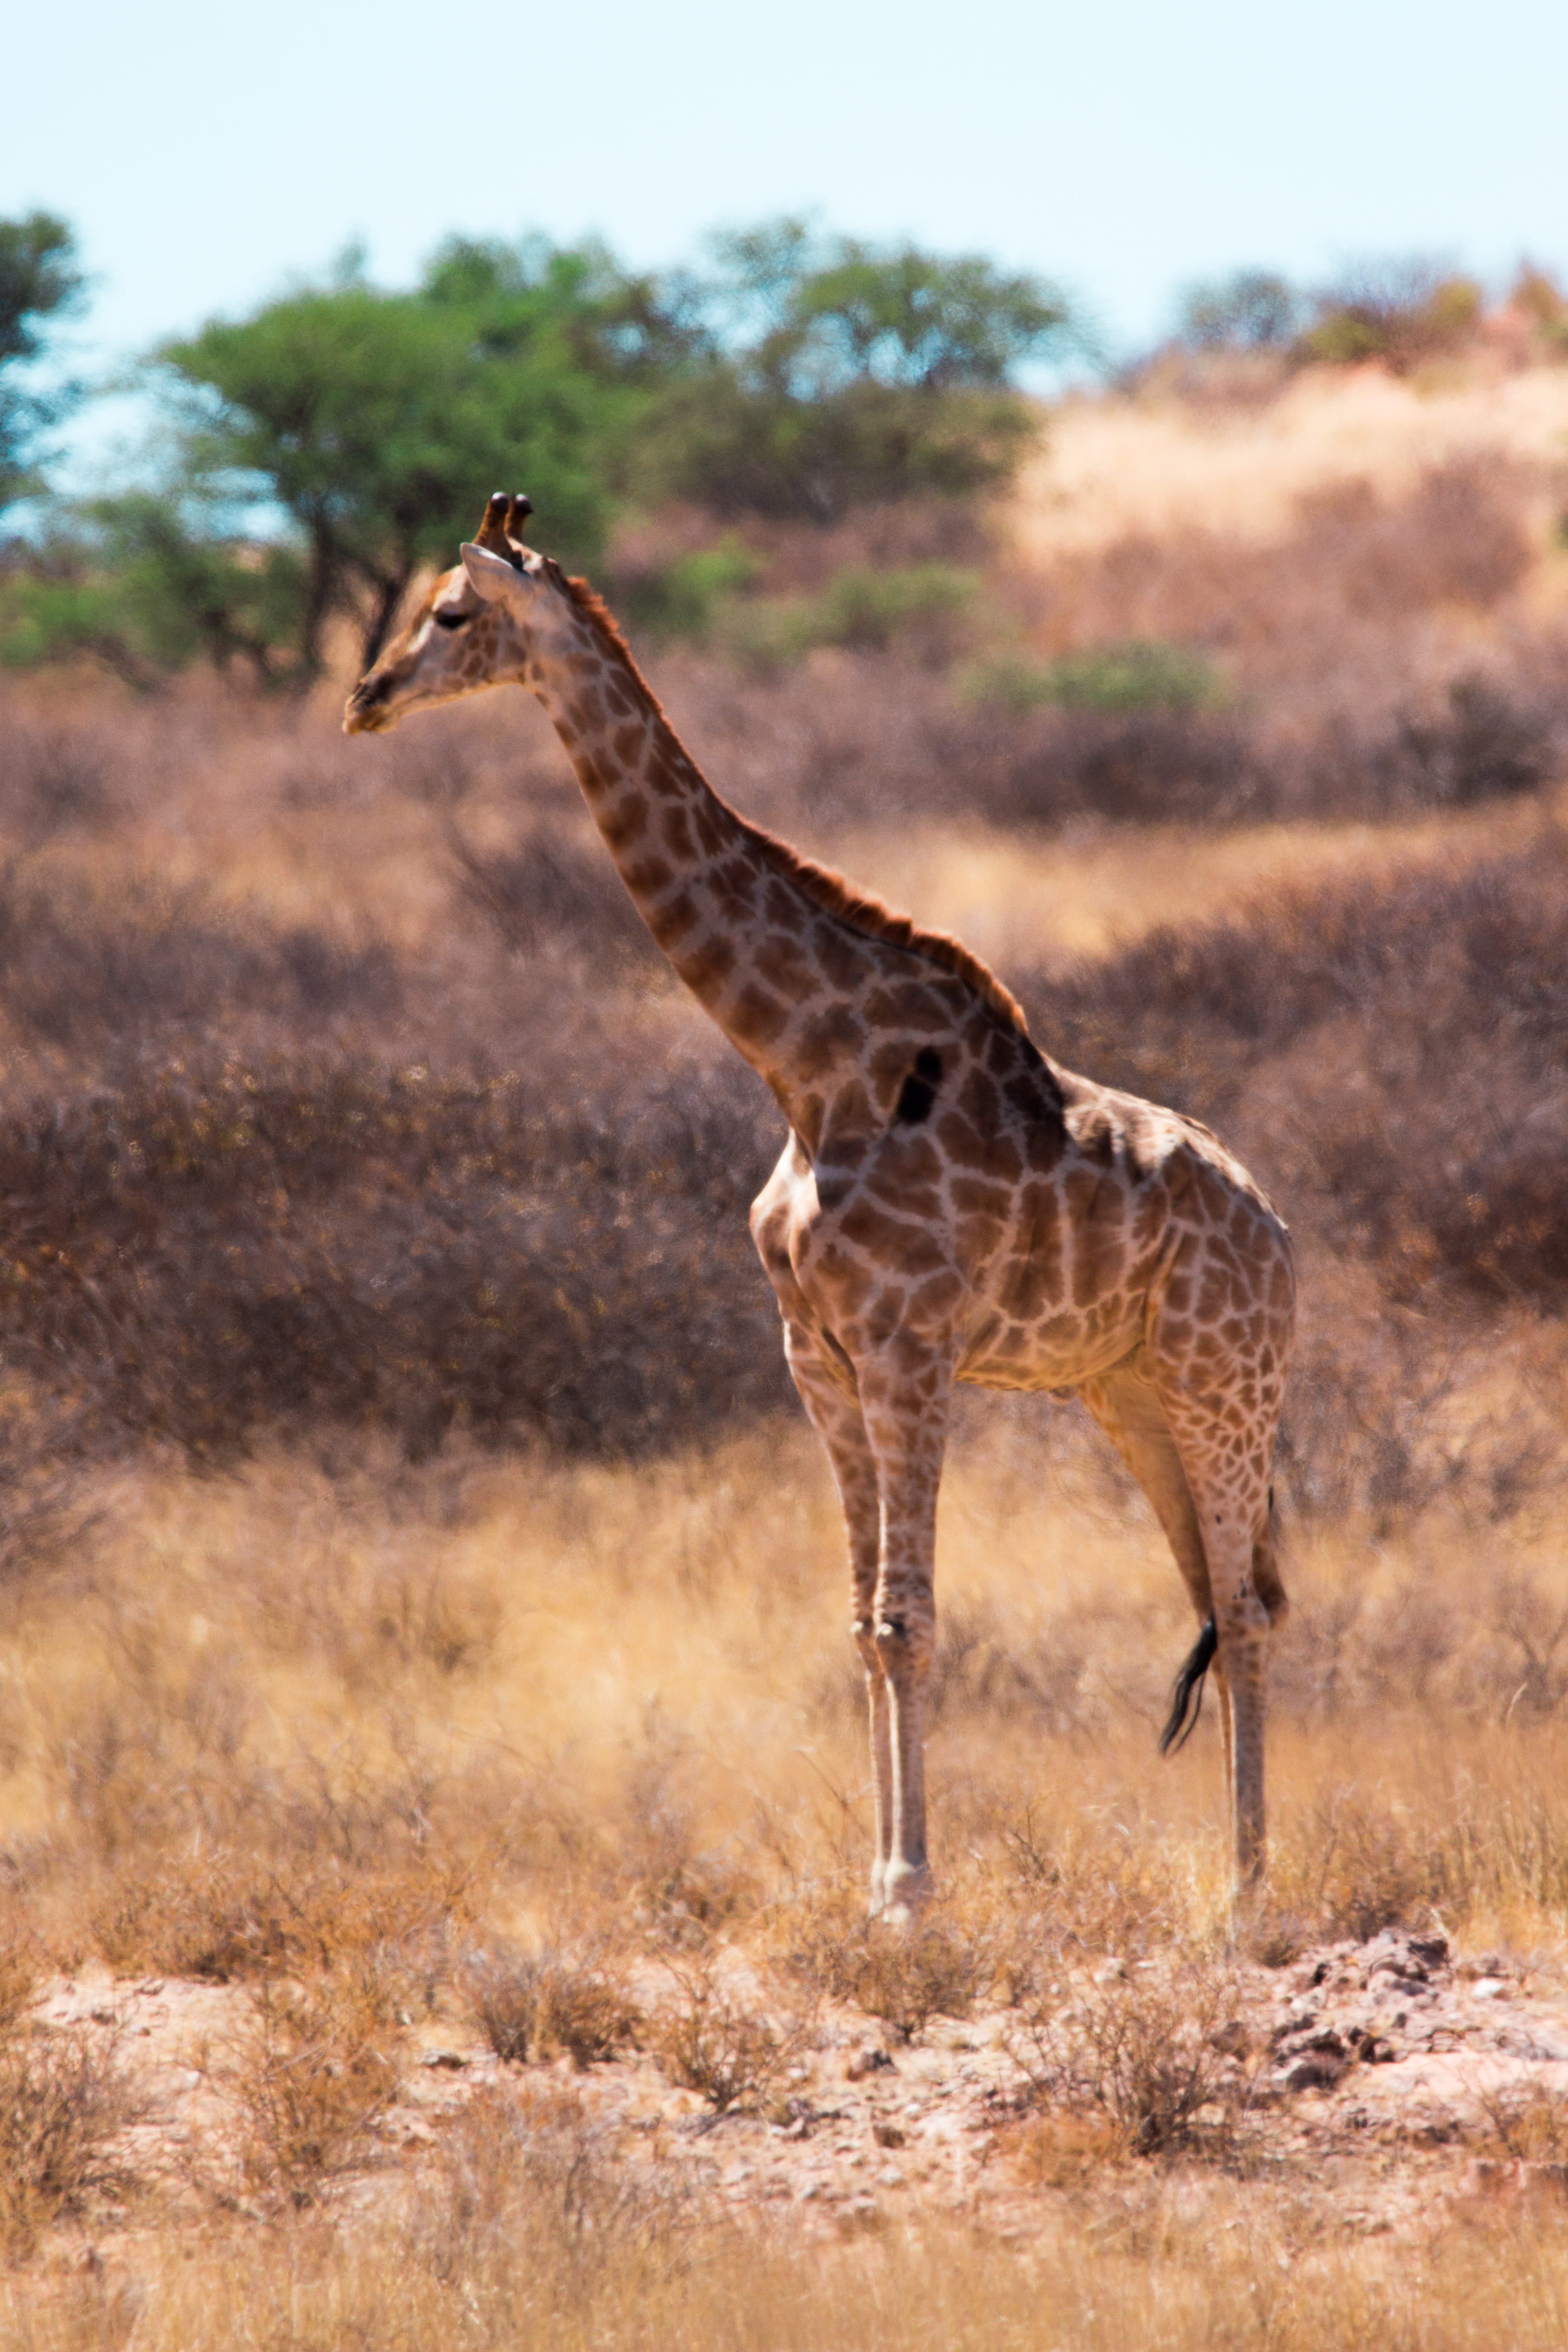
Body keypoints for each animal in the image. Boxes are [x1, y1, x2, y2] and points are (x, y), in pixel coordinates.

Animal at [345, 492, 1295, 1919]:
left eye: (451, 613)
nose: (364, 696)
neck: (807, 1068)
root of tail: (1281, 1236)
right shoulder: (816, 1355)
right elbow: (860, 1621)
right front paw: (877, 1877)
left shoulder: (908, 1350)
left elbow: (911, 1618)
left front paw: (909, 1888)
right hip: (1128, 1395)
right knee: (1224, 1597)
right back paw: (1234, 1875)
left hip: (1219, 1385)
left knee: (1241, 1612)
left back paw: (1244, 1895)